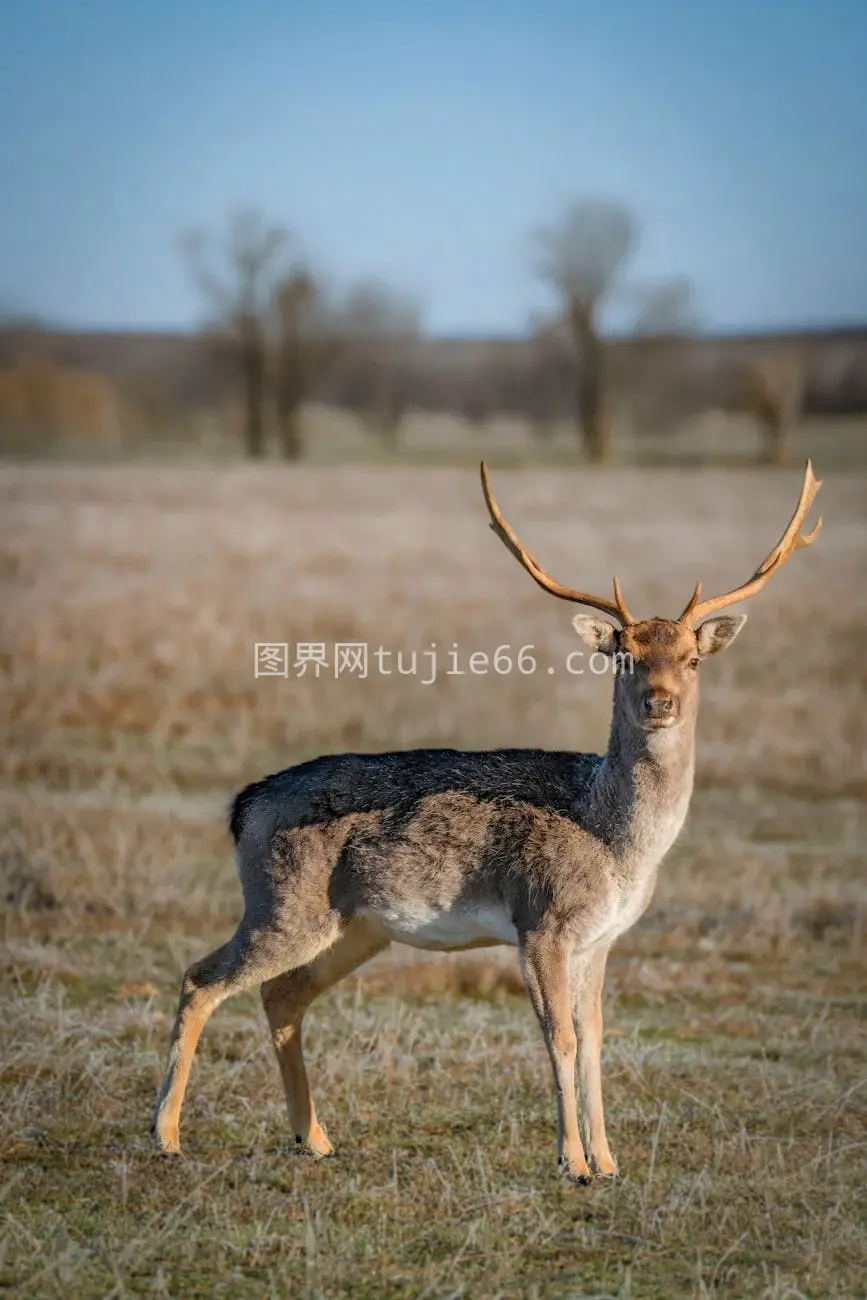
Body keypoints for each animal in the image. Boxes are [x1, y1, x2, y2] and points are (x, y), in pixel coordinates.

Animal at [152, 462, 826, 1185]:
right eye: (624, 655)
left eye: (693, 659)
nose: (660, 701)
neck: (615, 841)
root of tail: (243, 805)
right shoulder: (541, 921)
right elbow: (560, 1037)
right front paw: (572, 1162)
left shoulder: (601, 939)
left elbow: (595, 1041)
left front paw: (609, 1162)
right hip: (283, 905)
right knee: (200, 979)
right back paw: (166, 1136)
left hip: (354, 927)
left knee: (281, 996)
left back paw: (316, 1139)